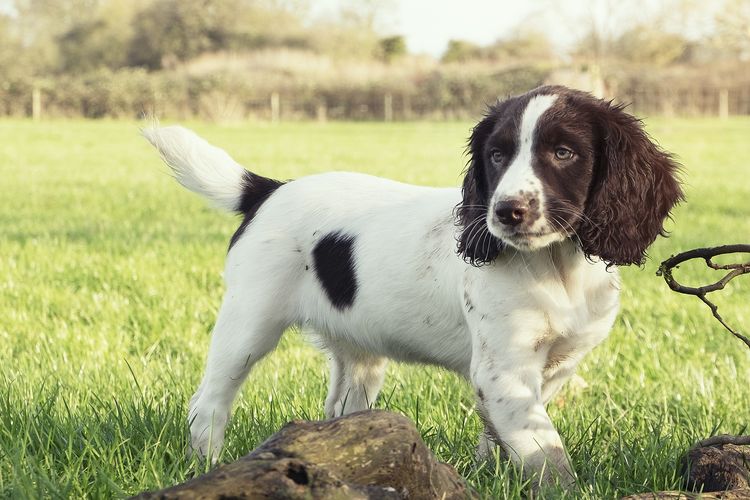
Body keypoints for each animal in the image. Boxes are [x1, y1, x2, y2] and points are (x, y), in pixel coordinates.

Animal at [144, 85, 684, 484]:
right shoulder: (504, 370)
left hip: (358, 354)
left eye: (565, 152)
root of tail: (268, 190)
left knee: (341, 410)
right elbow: (545, 451)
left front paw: (491, 476)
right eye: (496, 156)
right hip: (249, 322)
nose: (506, 212)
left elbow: (507, 435)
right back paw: (209, 467)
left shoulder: (555, 365)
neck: (555, 264)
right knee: (209, 402)